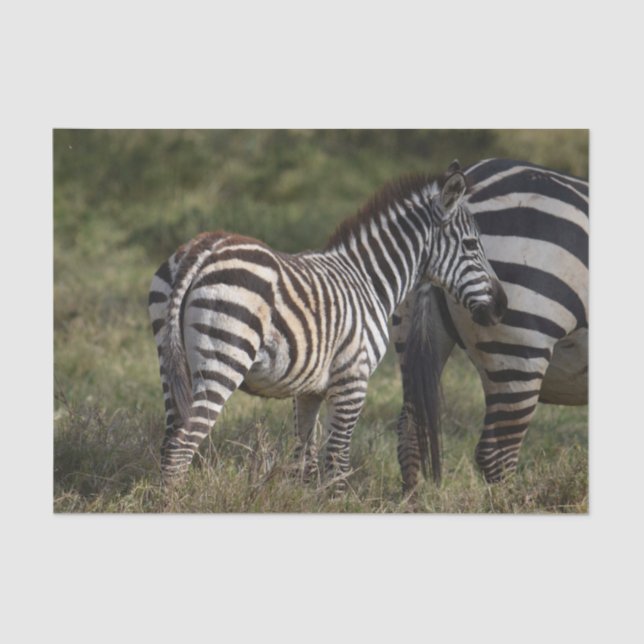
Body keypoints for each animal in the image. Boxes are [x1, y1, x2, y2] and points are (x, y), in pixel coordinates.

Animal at [148, 161, 508, 486]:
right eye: (471, 245)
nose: (501, 306)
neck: (369, 281)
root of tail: (203, 249)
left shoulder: (309, 390)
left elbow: (303, 459)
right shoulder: (352, 379)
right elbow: (337, 460)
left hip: (170, 363)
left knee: (168, 442)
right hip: (223, 360)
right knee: (181, 446)